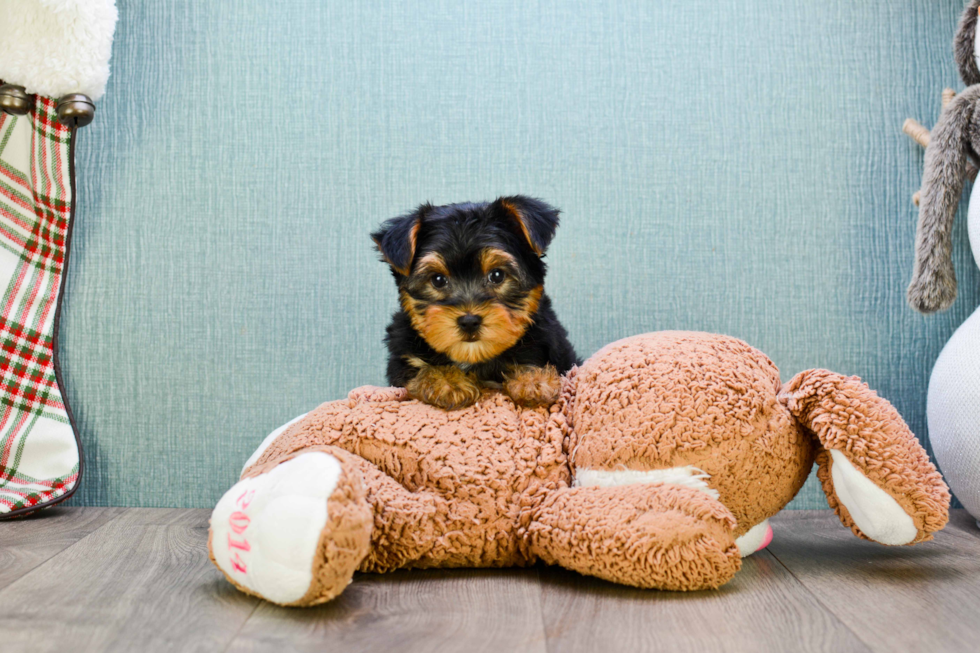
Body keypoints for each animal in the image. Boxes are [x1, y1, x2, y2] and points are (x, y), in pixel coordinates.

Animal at [374, 195, 580, 408]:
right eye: (438, 280)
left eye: (497, 275)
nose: (469, 321)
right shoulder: (402, 361)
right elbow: (420, 369)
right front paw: (447, 381)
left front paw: (533, 381)